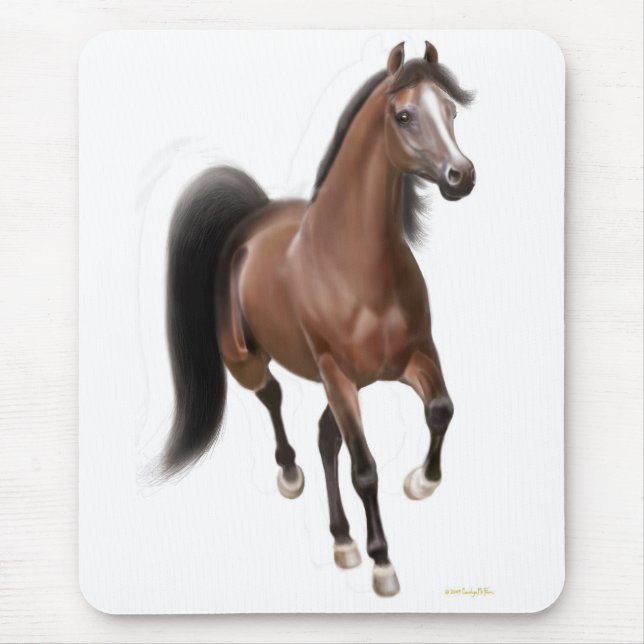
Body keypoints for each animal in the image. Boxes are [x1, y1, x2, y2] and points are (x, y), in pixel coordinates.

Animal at [163, 41, 475, 597]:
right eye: (404, 115)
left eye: (451, 110)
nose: (462, 176)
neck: (357, 269)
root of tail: (248, 224)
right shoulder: (338, 375)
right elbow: (365, 470)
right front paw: (383, 564)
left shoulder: (416, 355)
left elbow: (441, 410)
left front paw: (421, 482)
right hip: (252, 363)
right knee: (273, 397)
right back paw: (291, 477)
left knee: (325, 436)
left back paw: (342, 539)